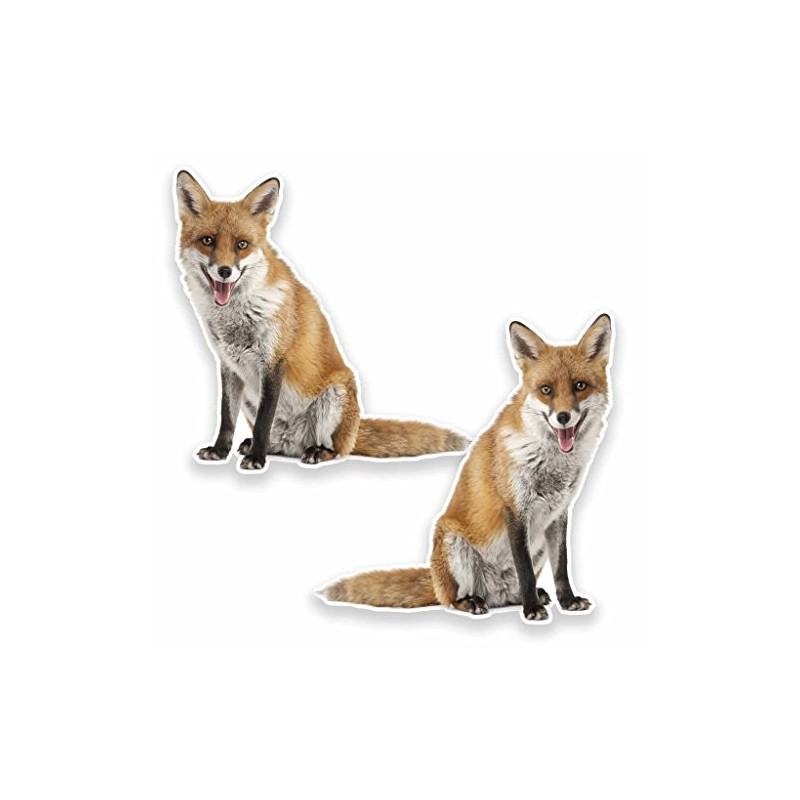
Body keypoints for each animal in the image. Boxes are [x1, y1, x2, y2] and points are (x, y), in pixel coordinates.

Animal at [174, 171, 468, 472]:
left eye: (241, 245)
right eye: (208, 241)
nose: (224, 271)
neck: (237, 316)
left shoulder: (274, 361)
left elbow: (263, 421)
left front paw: (256, 458)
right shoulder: (229, 365)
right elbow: (226, 417)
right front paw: (221, 451)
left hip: (334, 397)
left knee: (337, 450)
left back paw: (313, 451)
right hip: (251, 399)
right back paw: (263, 446)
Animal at [321, 314, 613, 623]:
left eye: (580, 386)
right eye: (546, 390)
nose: (563, 417)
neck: (552, 463)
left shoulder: (558, 513)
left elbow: (561, 566)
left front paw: (567, 601)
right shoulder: (514, 509)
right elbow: (525, 571)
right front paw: (532, 609)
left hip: (536, 549)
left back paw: (526, 597)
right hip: (452, 543)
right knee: (452, 600)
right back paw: (476, 602)